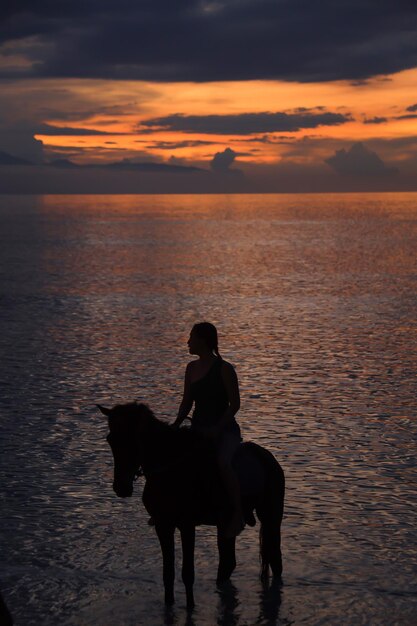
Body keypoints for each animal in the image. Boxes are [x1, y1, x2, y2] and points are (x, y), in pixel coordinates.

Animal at [96, 402, 284, 608]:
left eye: (133, 439)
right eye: (110, 440)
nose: (121, 487)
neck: (170, 467)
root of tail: (267, 457)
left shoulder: (186, 525)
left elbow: (187, 573)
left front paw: (191, 607)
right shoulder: (163, 525)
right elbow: (168, 574)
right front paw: (169, 606)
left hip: (271, 517)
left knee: (274, 559)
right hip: (225, 523)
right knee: (228, 562)